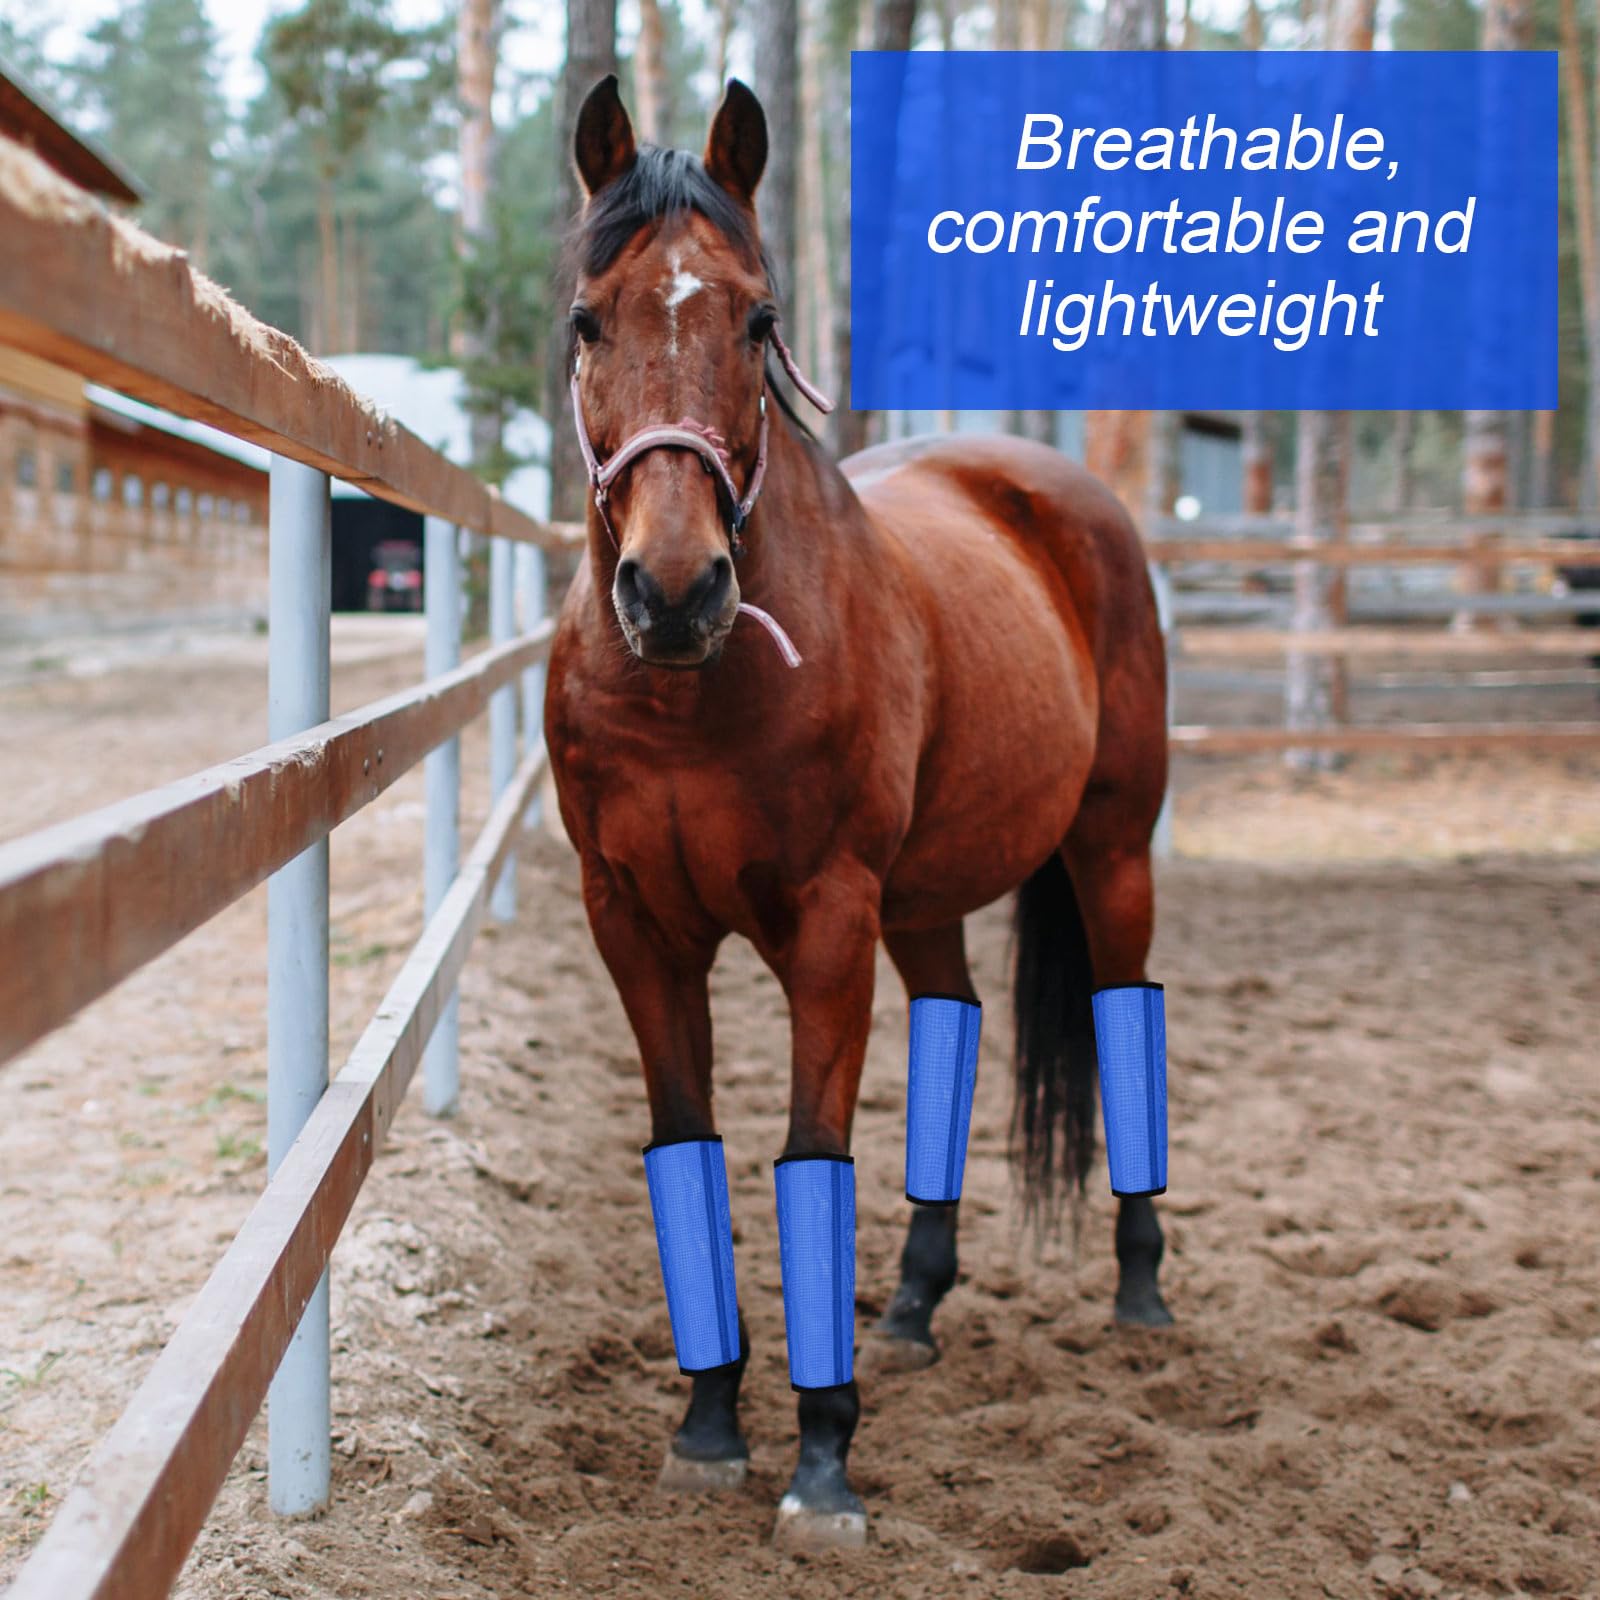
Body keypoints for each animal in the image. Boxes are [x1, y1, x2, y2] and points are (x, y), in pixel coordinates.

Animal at [545, 75, 1172, 1549]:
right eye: (588, 319)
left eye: (756, 318)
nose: (674, 590)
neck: (691, 693)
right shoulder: (634, 928)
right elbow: (689, 1145)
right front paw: (709, 1424)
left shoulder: (826, 924)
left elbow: (809, 1154)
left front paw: (821, 1459)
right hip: (926, 897)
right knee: (955, 1015)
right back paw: (913, 1303)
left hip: (1112, 849)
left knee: (1124, 1006)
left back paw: (1139, 1286)